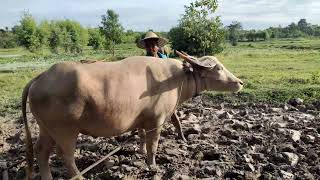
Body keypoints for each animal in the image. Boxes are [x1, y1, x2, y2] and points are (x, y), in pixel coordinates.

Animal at [21, 51, 242, 179]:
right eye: (218, 68)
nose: (240, 82)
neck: (175, 79)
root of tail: (41, 77)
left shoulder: (142, 120)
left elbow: (142, 136)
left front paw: (141, 151)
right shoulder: (156, 121)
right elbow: (153, 145)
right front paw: (152, 166)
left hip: (46, 129)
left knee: (42, 151)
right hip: (65, 131)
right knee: (66, 155)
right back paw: (79, 177)